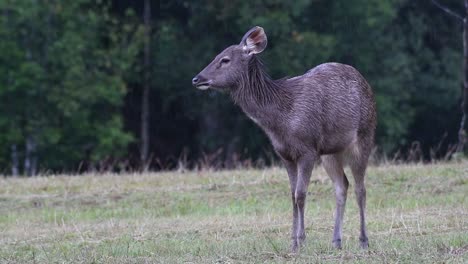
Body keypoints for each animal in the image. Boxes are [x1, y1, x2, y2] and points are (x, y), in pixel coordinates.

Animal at [192, 26, 378, 252]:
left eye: (225, 59)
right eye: (216, 56)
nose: (196, 79)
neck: (280, 122)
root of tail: (367, 85)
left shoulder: (308, 149)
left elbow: (301, 194)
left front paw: (302, 241)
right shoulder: (285, 154)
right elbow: (291, 195)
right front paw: (293, 242)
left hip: (364, 136)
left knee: (361, 189)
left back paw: (363, 241)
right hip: (331, 153)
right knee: (342, 186)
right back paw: (336, 241)